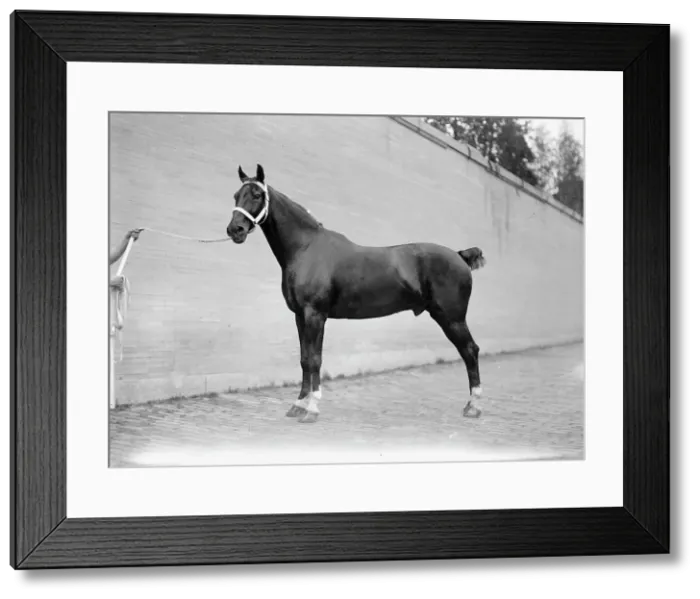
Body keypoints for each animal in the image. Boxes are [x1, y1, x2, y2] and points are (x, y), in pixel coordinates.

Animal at [226, 164, 487, 424]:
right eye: (236, 195)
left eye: (257, 195)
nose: (234, 230)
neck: (306, 248)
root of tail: (459, 255)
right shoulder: (300, 316)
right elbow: (304, 359)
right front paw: (298, 405)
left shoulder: (315, 315)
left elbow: (315, 359)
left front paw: (312, 409)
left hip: (452, 319)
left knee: (470, 350)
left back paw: (473, 406)